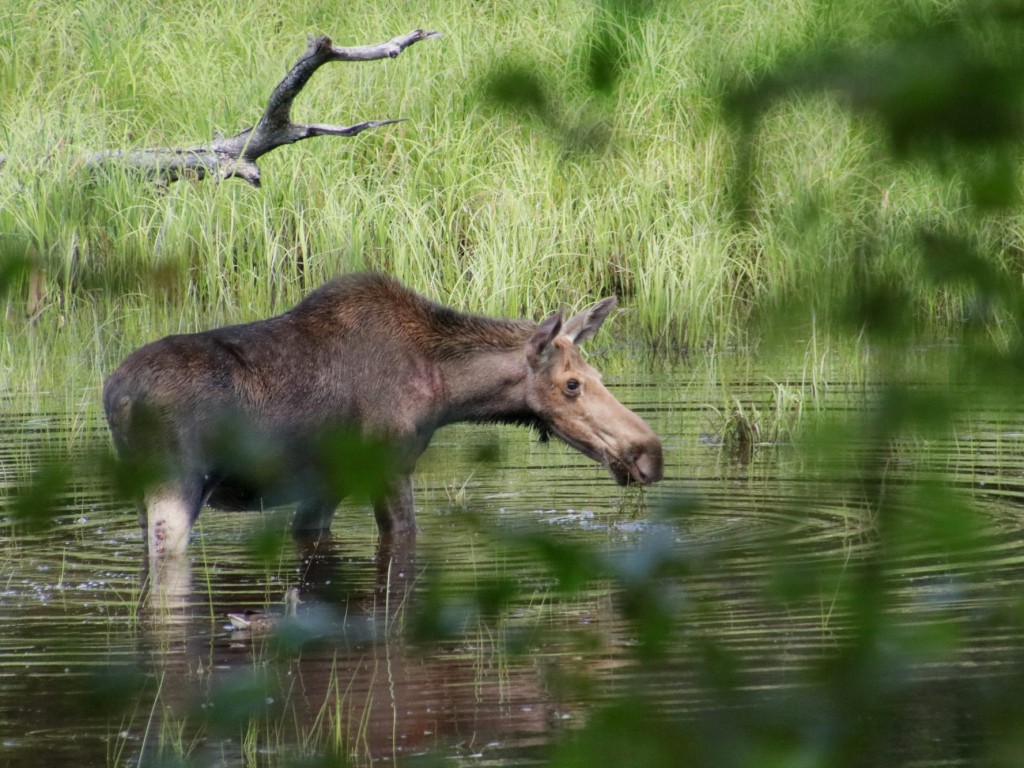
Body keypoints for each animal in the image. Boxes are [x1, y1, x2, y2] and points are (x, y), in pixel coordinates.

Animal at [103, 274, 663, 561]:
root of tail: (114, 396)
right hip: (176, 484)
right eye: (572, 384)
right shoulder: (390, 464)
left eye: (597, 375)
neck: (449, 390)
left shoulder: (327, 484)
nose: (650, 453)